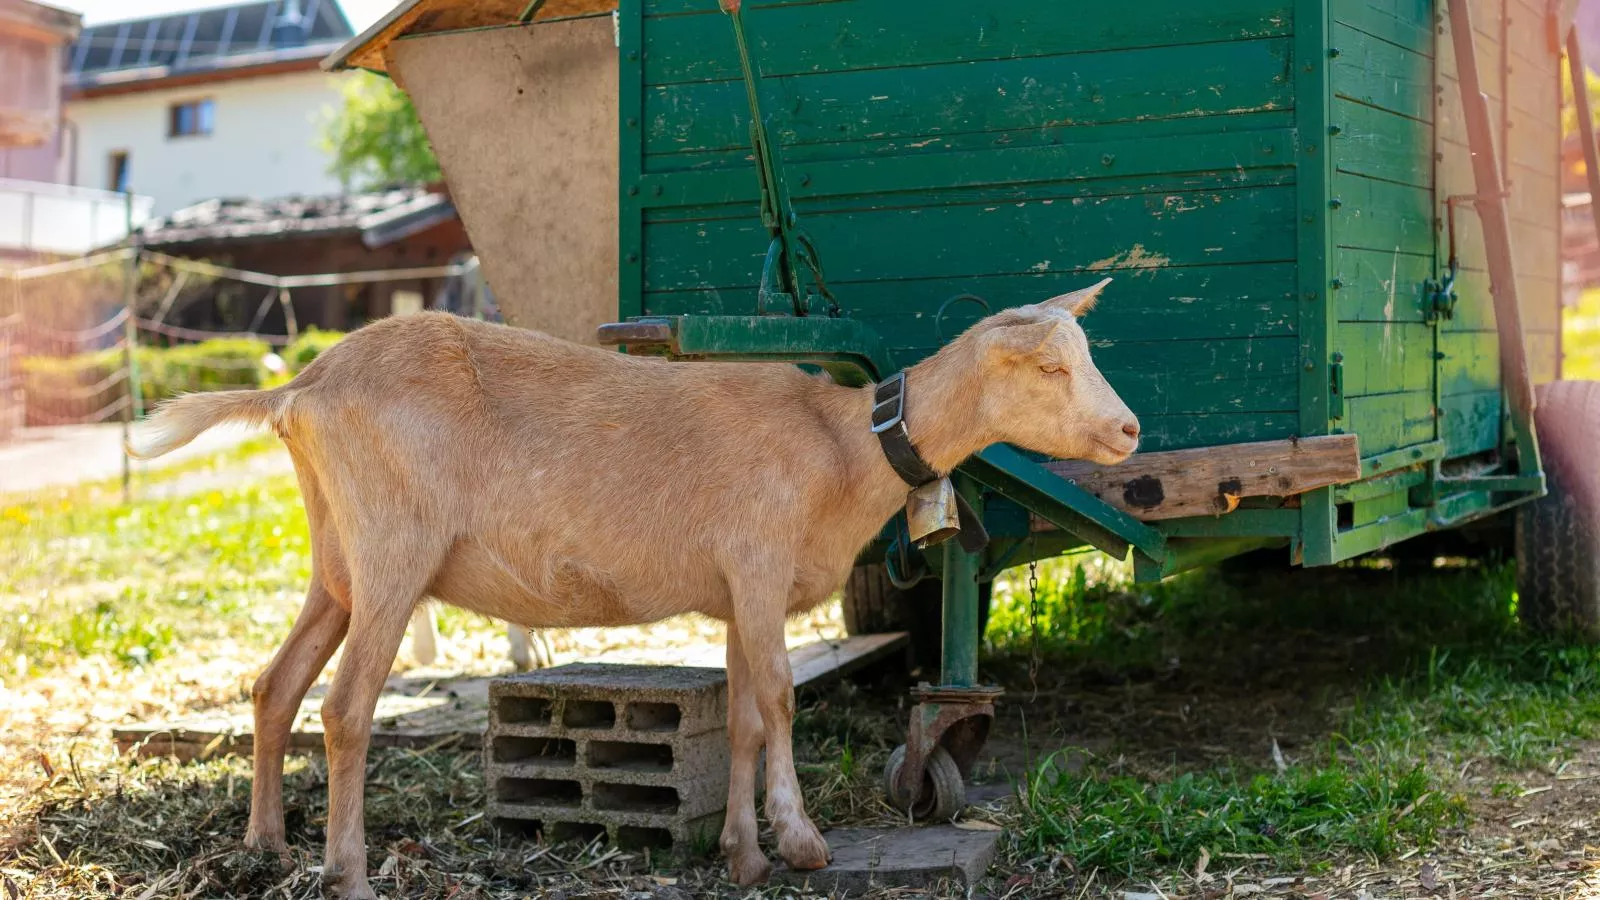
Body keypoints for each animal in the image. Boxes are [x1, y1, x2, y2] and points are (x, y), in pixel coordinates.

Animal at [124, 277, 1139, 890]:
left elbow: (742, 714)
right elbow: (780, 699)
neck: (841, 443)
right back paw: (349, 872)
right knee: (343, 708)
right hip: (392, 552)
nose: (1128, 431)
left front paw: (740, 854)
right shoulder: (758, 557)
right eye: (1050, 366)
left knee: (276, 685)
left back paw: (264, 843)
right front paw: (801, 842)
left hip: (337, 557)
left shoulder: (735, 590)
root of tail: (298, 391)